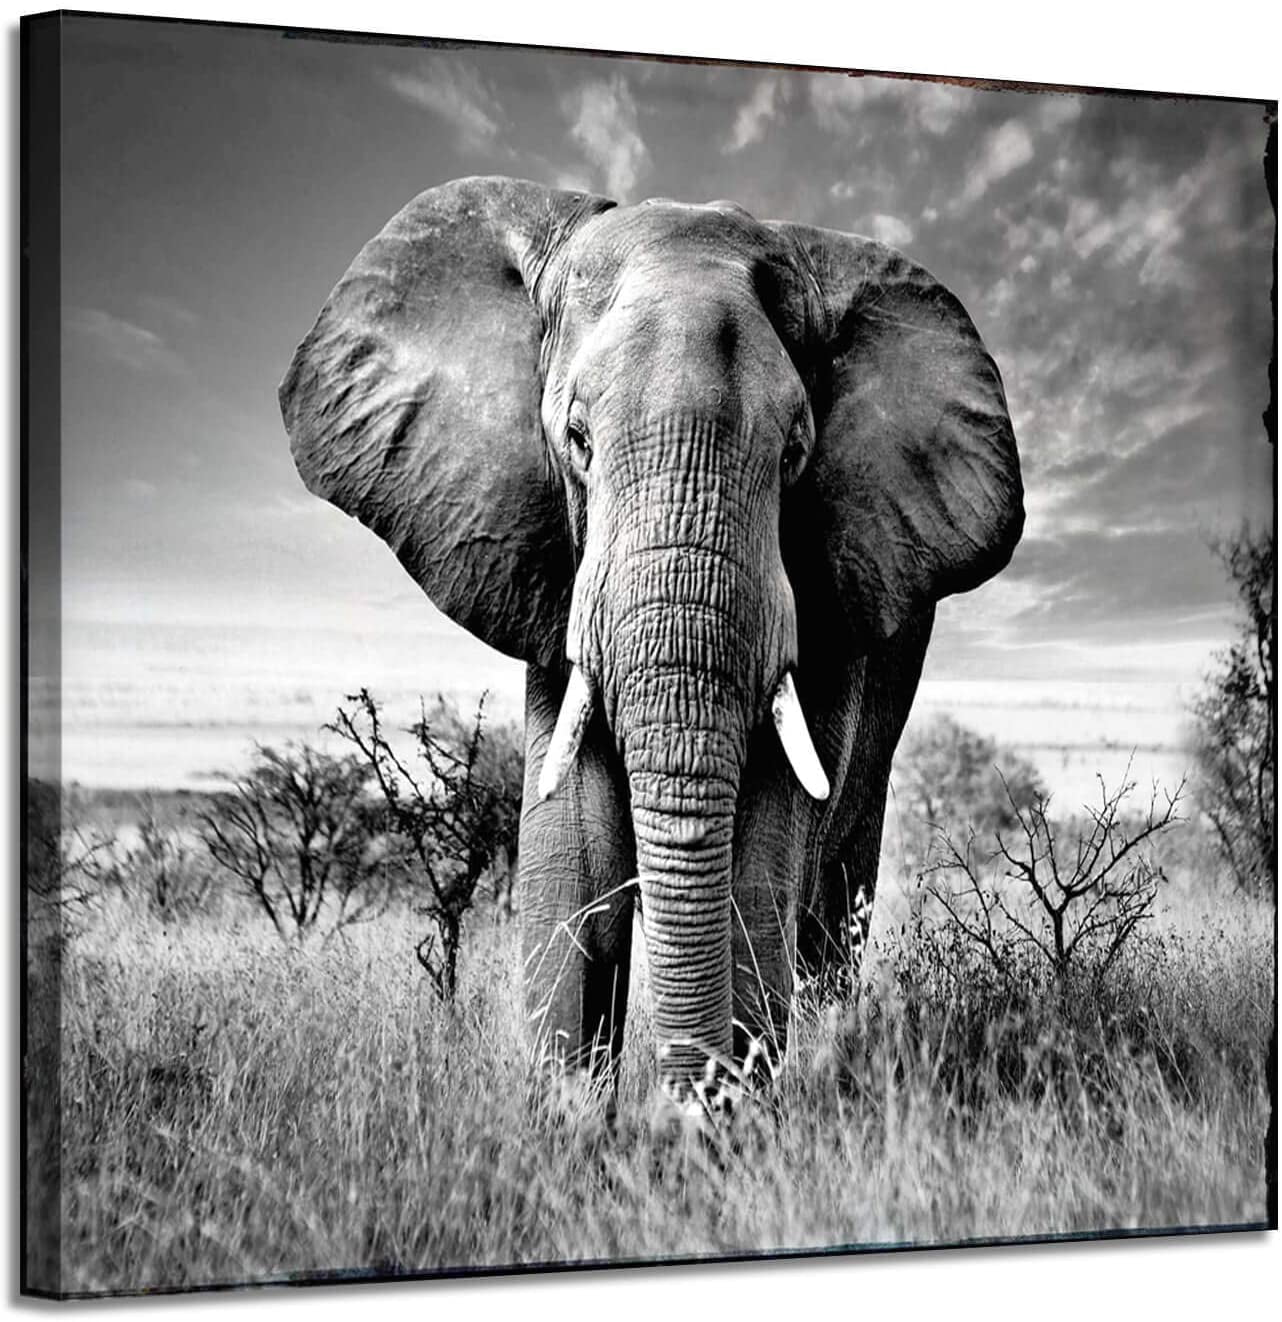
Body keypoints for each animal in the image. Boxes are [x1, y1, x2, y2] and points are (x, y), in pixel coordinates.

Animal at [279, 175, 1023, 1101]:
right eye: (578, 442)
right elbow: (574, 849)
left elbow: (762, 861)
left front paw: (729, 1120)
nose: (683, 1103)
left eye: (796, 455)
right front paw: (572, 1119)